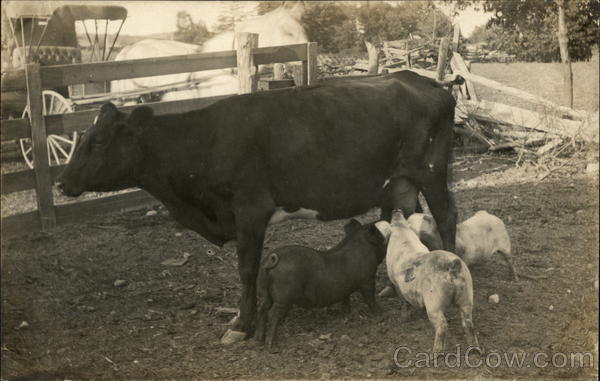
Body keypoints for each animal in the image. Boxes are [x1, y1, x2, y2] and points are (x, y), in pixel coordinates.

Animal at [254, 218, 386, 348]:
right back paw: (271, 345)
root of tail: (271, 258)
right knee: (273, 314)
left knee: (262, 309)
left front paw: (346, 313)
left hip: (263, 290)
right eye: (381, 238)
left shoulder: (345, 289)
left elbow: (345, 299)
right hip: (284, 296)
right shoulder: (367, 280)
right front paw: (381, 314)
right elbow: (370, 298)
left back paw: (259, 339)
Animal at [378, 209, 480, 352]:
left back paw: (436, 352)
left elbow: (404, 300)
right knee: (468, 322)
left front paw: (403, 319)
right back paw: (475, 350)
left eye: (393, 223)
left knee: (442, 325)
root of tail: (453, 266)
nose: (396, 210)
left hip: (434, 301)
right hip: (467, 292)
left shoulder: (396, 282)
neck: (402, 232)